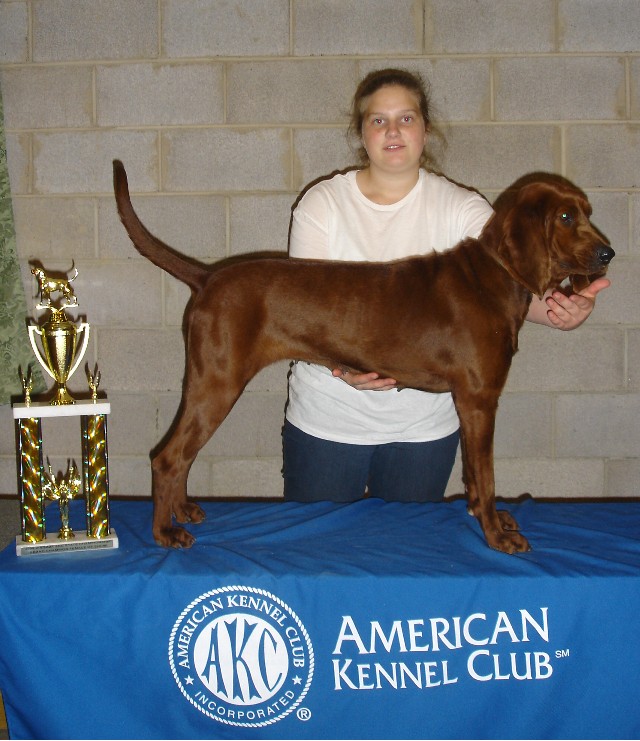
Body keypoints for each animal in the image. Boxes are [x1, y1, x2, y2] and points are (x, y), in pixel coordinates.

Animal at [114, 163, 616, 556]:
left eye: (588, 212)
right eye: (566, 216)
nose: (608, 253)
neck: (494, 274)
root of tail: (208, 276)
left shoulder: (469, 401)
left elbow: (474, 475)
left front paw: (481, 513)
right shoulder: (479, 397)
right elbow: (487, 474)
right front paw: (496, 536)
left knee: (183, 454)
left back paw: (182, 510)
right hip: (217, 381)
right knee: (168, 456)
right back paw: (164, 532)